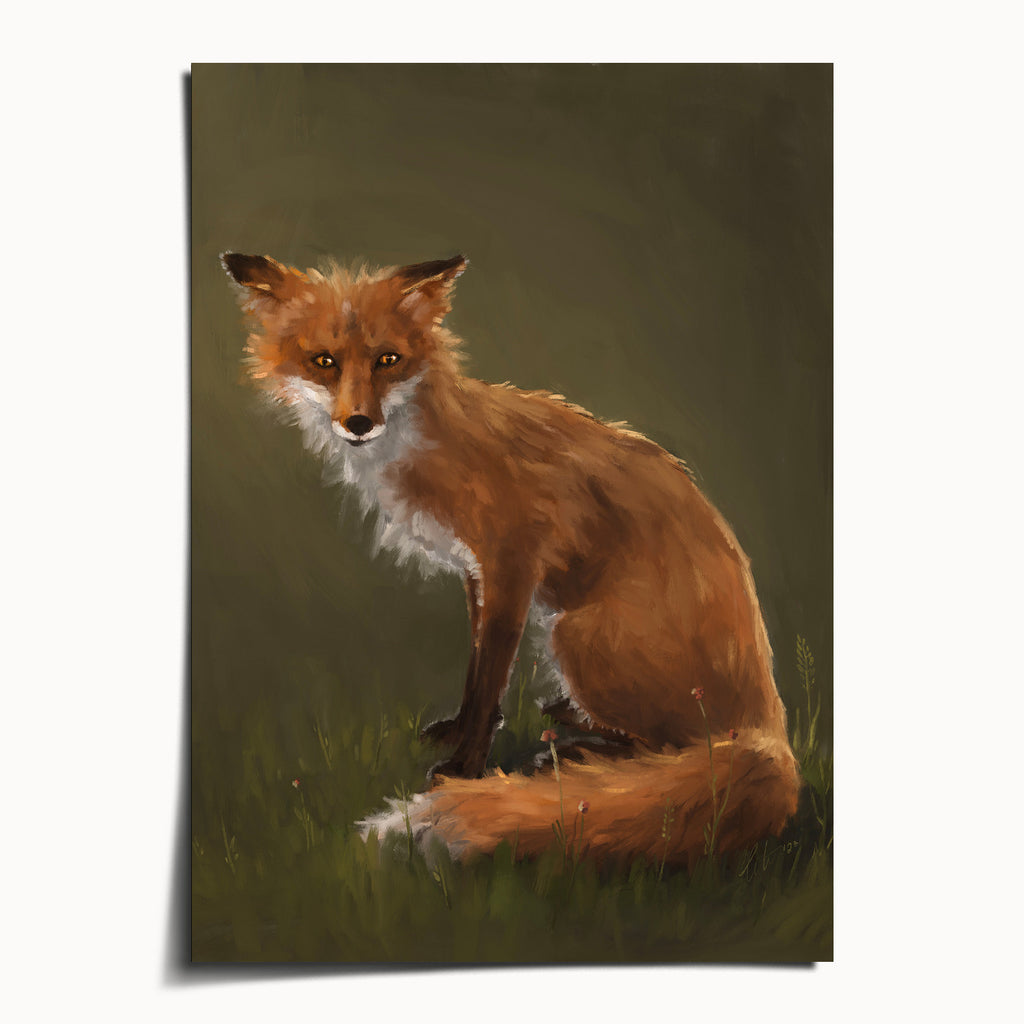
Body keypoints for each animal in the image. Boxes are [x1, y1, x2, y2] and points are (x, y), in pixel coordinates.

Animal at [221, 249, 800, 868]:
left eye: (388, 360)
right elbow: (477, 671)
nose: (358, 423)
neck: (432, 444)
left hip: (574, 635)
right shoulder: (477, 571)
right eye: (324, 362)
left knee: (679, 750)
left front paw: (462, 768)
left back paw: (580, 754)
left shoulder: (512, 565)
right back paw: (574, 726)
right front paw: (457, 731)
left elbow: (490, 679)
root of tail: (770, 725)